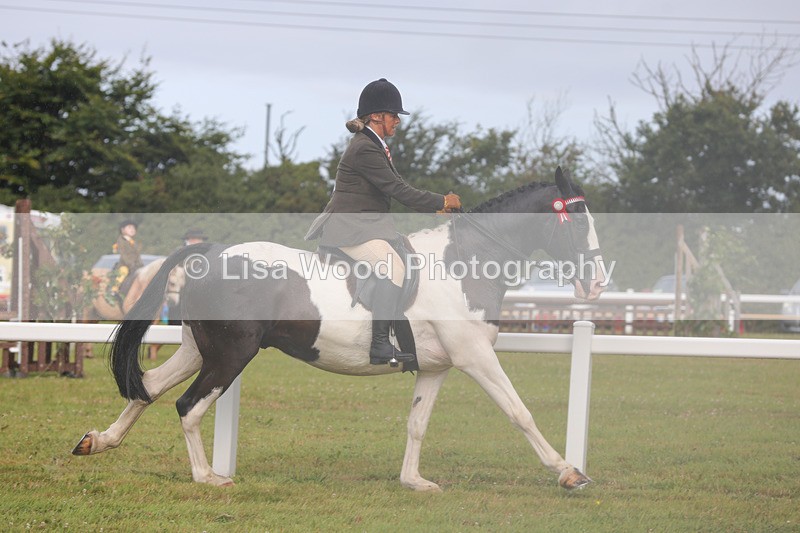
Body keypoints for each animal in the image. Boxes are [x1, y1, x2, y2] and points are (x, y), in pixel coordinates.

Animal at [72, 168, 607, 491]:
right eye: (578, 218)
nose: (599, 282)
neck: (465, 260)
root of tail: (212, 252)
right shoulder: (475, 356)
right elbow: (520, 412)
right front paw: (569, 472)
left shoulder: (438, 366)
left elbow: (417, 422)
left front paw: (413, 481)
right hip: (230, 355)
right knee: (188, 405)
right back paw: (207, 477)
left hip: (197, 350)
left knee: (149, 387)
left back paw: (99, 441)